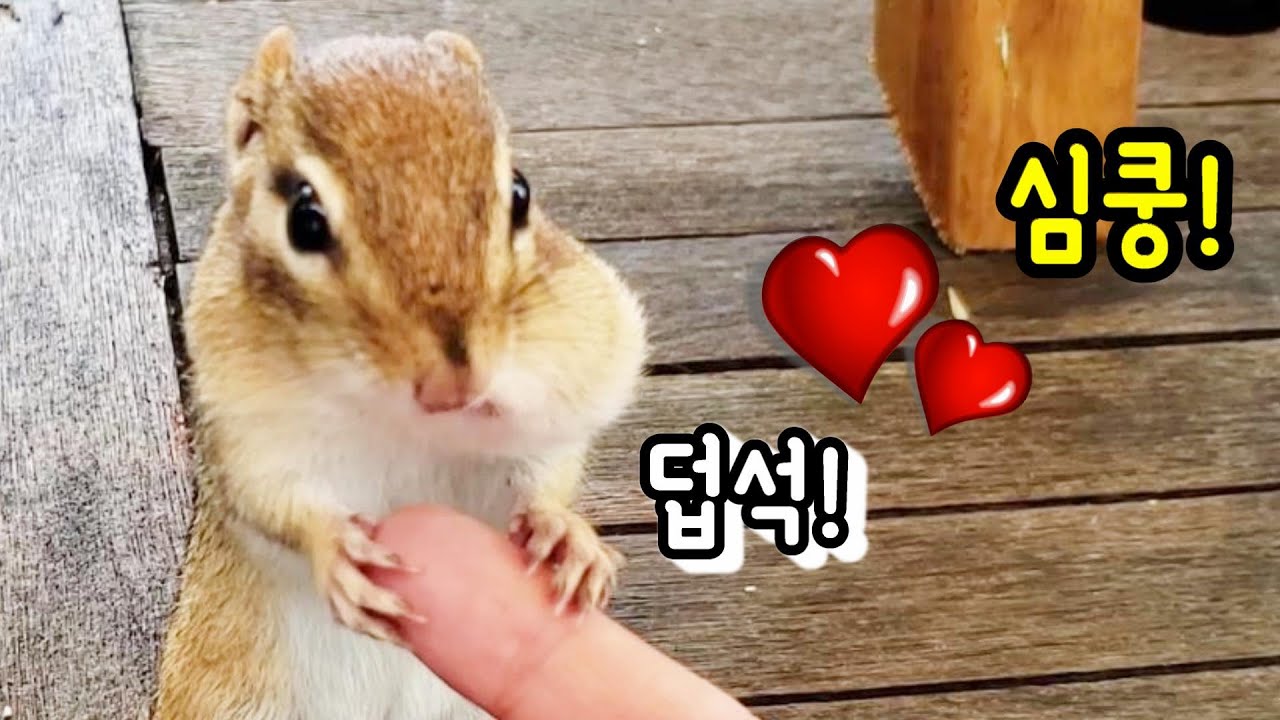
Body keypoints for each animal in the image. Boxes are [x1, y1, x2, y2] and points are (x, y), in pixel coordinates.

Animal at [152, 26, 648, 720]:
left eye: (520, 194)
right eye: (304, 221)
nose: (453, 385)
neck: (403, 424)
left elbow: (550, 465)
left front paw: (565, 536)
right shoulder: (242, 424)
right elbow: (270, 495)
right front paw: (335, 548)